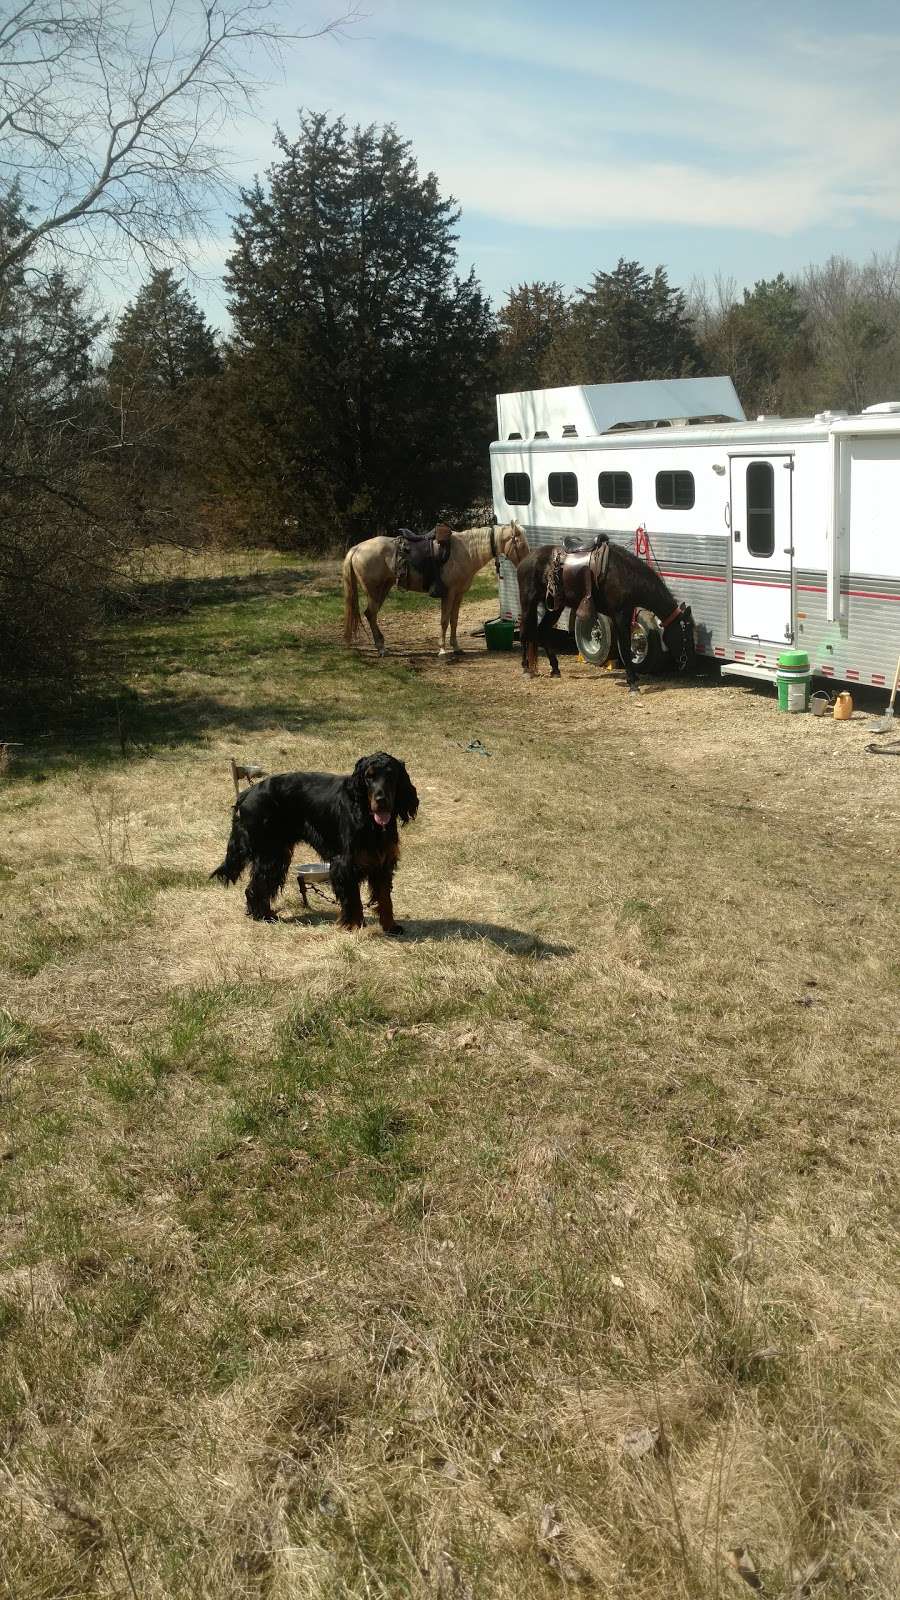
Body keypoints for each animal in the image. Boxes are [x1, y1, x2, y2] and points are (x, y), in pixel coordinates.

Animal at [209, 752, 416, 934]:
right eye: (369, 777)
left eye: (391, 775)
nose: (381, 800)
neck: (370, 820)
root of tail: (248, 792)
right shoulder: (344, 863)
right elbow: (353, 898)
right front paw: (353, 926)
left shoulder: (383, 862)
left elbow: (385, 899)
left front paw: (390, 926)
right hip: (271, 852)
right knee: (256, 885)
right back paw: (263, 916)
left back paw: (264, 914)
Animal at [341, 521, 525, 652]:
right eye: (520, 543)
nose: (527, 561)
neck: (465, 551)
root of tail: (356, 548)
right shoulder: (448, 594)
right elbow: (444, 620)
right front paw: (442, 649)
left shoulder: (459, 594)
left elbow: (454, 620)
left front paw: (456, 647)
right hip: (374, 591)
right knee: (371, 614)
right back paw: (380, 647)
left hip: (383, 589)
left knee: (371, 614)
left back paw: (381, 644)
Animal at [512, 540, 695, 691]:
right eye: (685, 633)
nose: (689, 660)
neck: (625, 575)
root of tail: (526, 560)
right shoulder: (620, 615)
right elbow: (625, 648)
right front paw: (632, 684)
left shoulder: (624, 615)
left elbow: (625, 646)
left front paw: (633, 678)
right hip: (528, 602)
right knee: (524, 632)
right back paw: (526, 668)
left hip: (555, 606)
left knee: (543, 630)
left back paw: (555, 669)